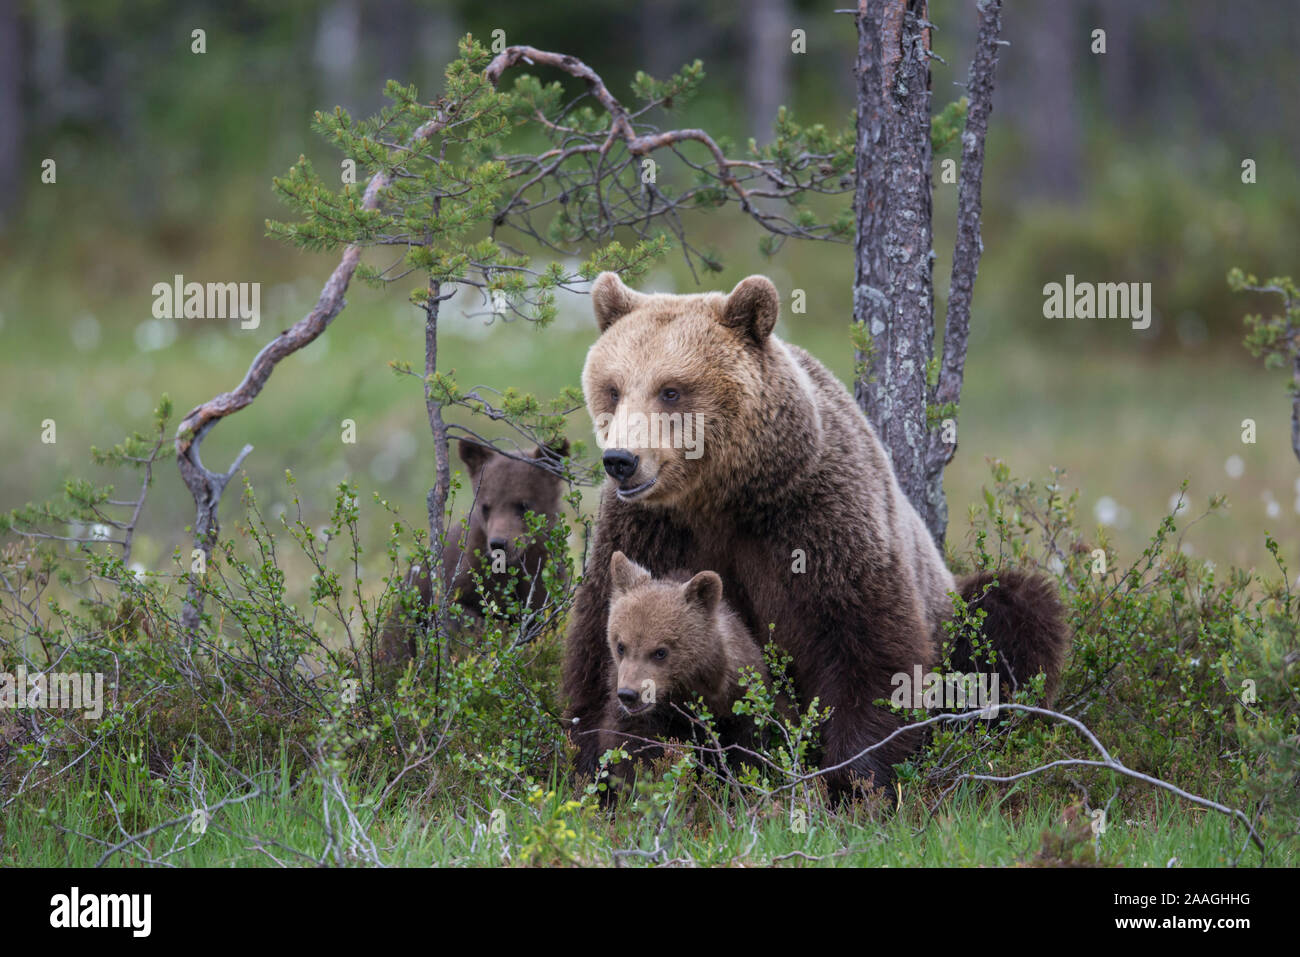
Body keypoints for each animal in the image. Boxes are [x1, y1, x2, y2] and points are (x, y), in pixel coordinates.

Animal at [566, 274, 1066, 790]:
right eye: (612, 388)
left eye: (671, 390)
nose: (621, 460)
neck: (722, 496)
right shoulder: (648, 530)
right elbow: (597, 654)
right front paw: (613, 768)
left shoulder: (818, 520)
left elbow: (866, 648)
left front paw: (853, 779)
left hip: (955, 609)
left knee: (1013, 612)